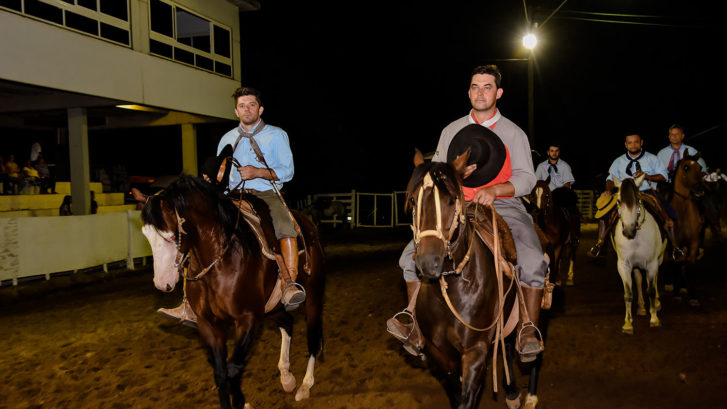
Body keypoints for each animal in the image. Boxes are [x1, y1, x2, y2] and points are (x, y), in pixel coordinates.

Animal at [140, 175, 328, 408]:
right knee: (287, 323)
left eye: (172, 237)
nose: (161, 283)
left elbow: (233, 369)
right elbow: (221, 374)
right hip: (272, 306)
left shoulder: (248, 319)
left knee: (313, 337)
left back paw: (305, 385)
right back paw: (286, 377)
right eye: (146, 236)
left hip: (313, 295)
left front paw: (242, 402)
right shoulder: (209, 324)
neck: (221, 260)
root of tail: (309, 226)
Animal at [410, 151, 524, 408]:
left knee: (509, 344)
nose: (428, 262)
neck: (452, 290)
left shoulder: (476, 351)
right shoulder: (440, 353)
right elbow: (456, 393)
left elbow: (467, 397)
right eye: (413, 201)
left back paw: (513, 390)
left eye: (452, 200)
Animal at [612, 174, 668, 334]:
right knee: (638, 279)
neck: (636, 237)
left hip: (658, 259)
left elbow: (651, 289)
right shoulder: (623, 265)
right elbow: (628, 292)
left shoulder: (652, 263)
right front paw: (628, 323)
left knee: (653, 280)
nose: (628, 231)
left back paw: (656, 304)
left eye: (637, 200)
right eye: (619, 201)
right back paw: (642, 307)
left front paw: (654, 319)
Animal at [668, 151, 708, 304]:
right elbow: (677, 263)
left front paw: (693, 296)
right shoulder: (675, 243)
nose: (699, 190)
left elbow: (690, 263)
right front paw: (676, 293)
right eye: (686, 167)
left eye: (700, 168)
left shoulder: (694, 242)